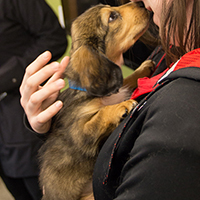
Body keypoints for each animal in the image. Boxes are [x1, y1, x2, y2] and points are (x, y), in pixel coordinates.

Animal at [39, 1, 155, 200]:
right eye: (112, 17)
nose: (140, 3)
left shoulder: (118, 87)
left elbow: (126, 80)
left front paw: (143, 68)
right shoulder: (80, 131)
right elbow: (101, 114)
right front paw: (121, 106)